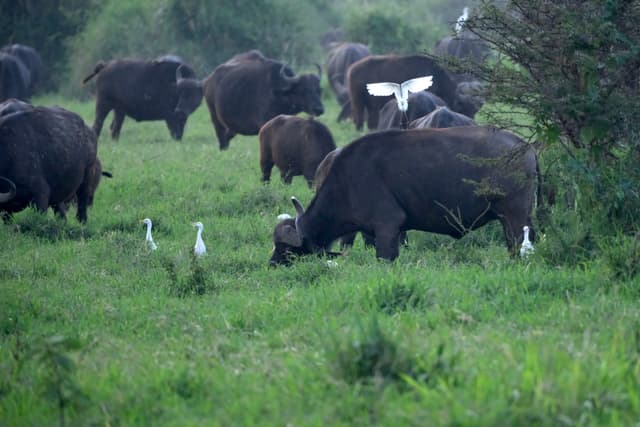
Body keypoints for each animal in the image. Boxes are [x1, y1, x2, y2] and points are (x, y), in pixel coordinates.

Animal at [270, 126, 539, 265]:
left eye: (286, 249)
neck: (346, 181)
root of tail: (525, 146)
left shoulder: (387, 227)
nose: (272, 263)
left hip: (515, 217)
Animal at [346, 54, 480, 130]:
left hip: (370, 106)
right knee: (358, 120)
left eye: (474, 111)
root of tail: (352, 68)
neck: (437, 77)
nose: (471, 122)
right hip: (358, 102)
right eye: (464, 109)